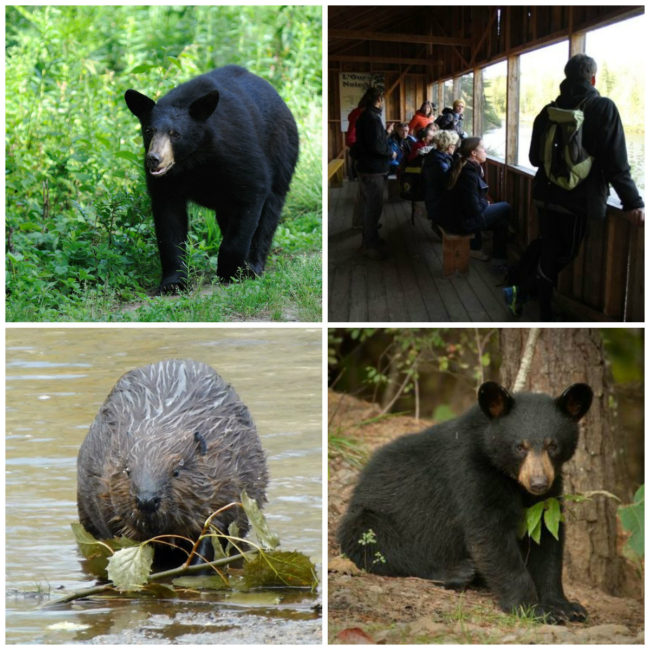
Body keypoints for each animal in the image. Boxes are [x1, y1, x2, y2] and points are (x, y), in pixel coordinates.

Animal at [124, 64, 298, 292]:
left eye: (175, 134)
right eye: (148, 131)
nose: (154, 159)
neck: (193, 158)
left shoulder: (237, 152)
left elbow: (252, 192)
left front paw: (230, 271)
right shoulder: (166, 184)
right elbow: (169, 225)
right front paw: (173, 283)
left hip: (281, 150)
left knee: (269, 211)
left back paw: (254, 265)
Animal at [340, 380, 592, 624]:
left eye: (553, 446)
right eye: (520, 447)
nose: (538, 483)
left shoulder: (548, 494)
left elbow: (547, 538)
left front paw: (566, 607)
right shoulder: (472, 474)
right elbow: (490, 537)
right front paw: (533, 609)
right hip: (370, 517)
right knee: (375, 543)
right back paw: (457, 572)